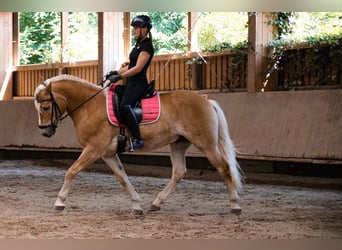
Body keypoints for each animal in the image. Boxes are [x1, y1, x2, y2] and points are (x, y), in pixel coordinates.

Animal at [34, 74, 243, 215]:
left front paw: (59, 202)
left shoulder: (93, 149)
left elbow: (72, 171)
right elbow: (123, 178)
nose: (44, 131)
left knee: (224, 168)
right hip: (178, 144)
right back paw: (156, 203)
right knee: (178, 172)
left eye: (45, 107)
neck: (89, 107)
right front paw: (136, 205)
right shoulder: (107, 154)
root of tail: (206, 100)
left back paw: (235, 204)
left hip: (205, 143)